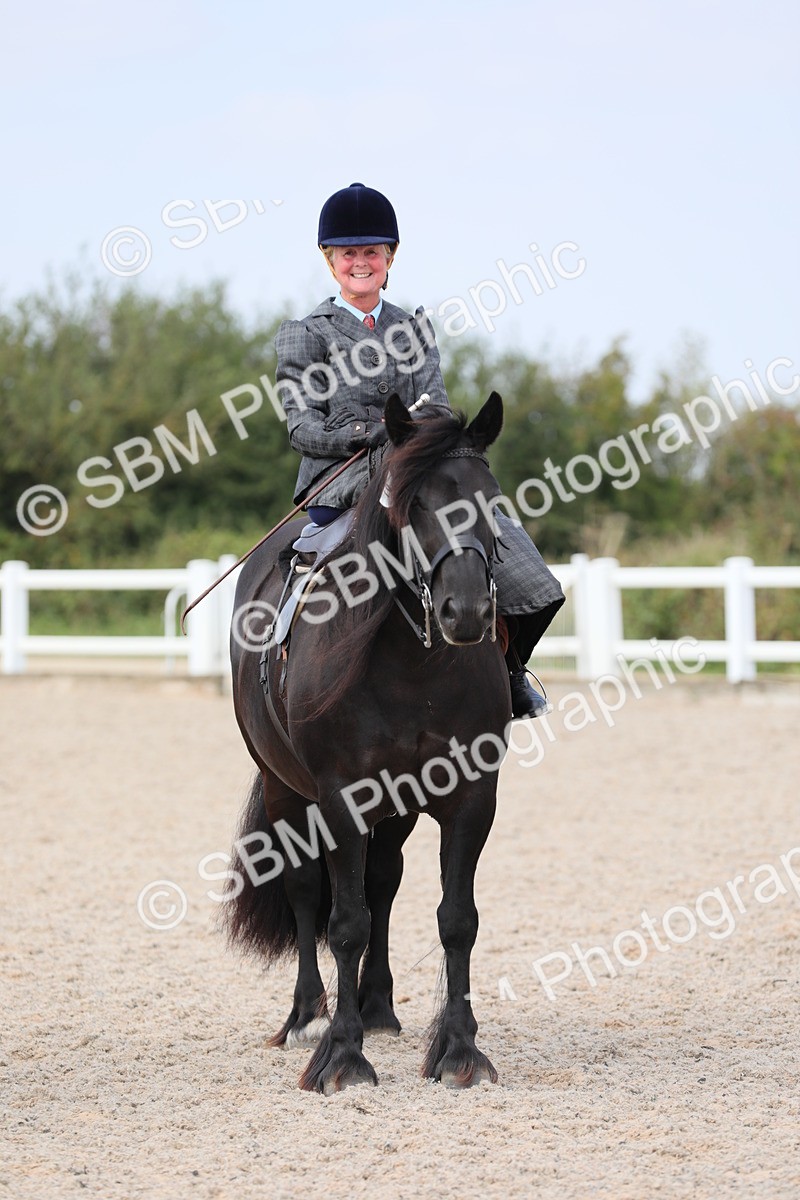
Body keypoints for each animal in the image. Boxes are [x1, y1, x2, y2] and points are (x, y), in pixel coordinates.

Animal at [224, 392, 512, 1094]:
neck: (413, 665)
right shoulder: (341, 798)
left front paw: (459, 1050)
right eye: (414, 503)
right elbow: (344, 922)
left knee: (383, 881)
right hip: (284, 789)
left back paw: (377, 1005)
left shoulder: (472, 796)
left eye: (490, 499)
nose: (467, 611)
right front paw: (342, 1054)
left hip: (398, 807)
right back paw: (308, 1016)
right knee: (306, 890)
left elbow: (456, 919)